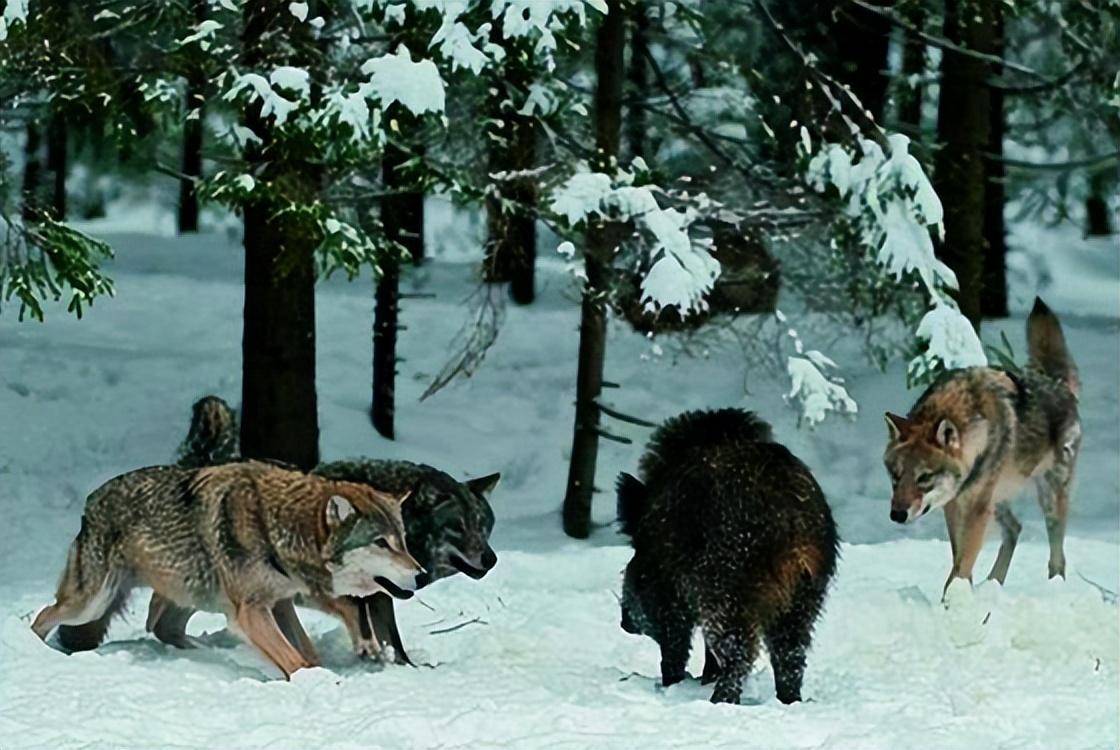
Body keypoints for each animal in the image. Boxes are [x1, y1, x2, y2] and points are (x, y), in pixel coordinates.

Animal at [32, 463, 423, 680]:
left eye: (403, 540)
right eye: (381, 543)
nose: (420, 574)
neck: (276, 527)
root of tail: (90, 501)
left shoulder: (280, 602)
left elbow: (310, 650)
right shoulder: (251, 610)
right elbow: (299, 661)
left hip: (196, 591)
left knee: (162, 627)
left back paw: (208, 654)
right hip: (91, 604)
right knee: (42, 617)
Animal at [613, 411, 842, 707]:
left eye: (635, 550)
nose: (624, 623)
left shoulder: (673, 596)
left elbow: (675, 644)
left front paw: (673, 683)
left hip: (727, 590)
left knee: (739, 651)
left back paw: (718, 701)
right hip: (805, 596)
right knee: (790, 655)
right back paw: (788, 701)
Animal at [887, 297, 1079, 595]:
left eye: (924, 477)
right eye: (895, 476)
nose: (897, 514)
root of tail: (1056, 382)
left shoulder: (976, 507)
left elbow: (961, 564)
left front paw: (953, 599)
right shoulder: (955, 505)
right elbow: (959, 559)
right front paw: (963, 594)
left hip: (1048, 497)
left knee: (1057, 556)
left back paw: (1054, 588)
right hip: (997, 501)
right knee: (1015, 528)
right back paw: (993, 584)